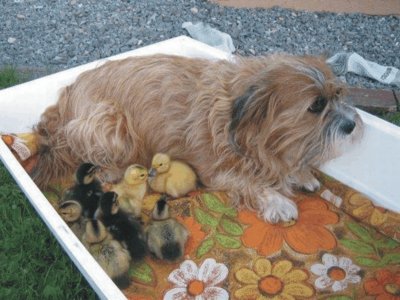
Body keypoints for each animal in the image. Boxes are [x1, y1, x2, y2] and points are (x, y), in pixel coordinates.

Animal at [32, 53, 362, 223]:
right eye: (316, 105)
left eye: (338, 94)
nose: (352, 126)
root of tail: (65, 99)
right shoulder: (216, 171)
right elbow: (250, 183)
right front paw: (278, 201)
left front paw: (300, 173)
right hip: (110, 121)